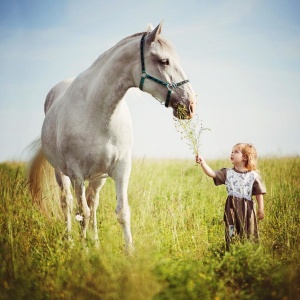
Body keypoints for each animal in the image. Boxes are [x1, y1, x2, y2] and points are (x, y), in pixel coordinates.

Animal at [27, 21, 197, 251]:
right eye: (164, 61)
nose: (190, 104)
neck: (97, 113)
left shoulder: (121, 169)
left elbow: (121, 212)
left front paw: (129, 252)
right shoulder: (76, 174)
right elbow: (82, 213)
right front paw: (84, 251)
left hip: (98, 178)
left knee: (93, 203)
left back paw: (96, 242)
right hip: (61, 173)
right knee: (68, 203)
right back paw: (70, 241)